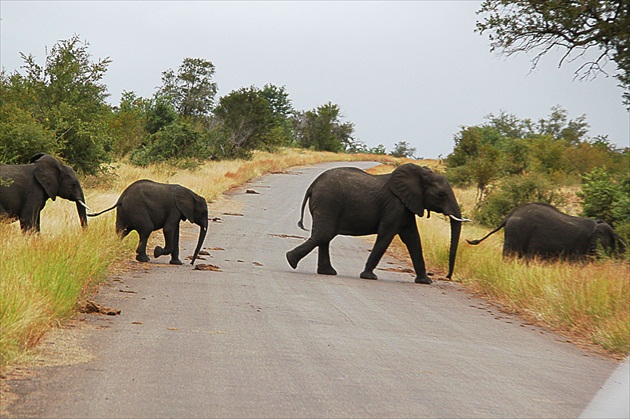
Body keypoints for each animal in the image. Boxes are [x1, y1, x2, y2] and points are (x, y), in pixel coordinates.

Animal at [286, 162, 470, 284]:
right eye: (441, 195)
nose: (447, 277)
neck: (420, 174)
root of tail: (312, 185)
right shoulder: (395, 205)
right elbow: (386, 235)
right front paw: (369, 277)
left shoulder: (406, 207)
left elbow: (413, 238)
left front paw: (425, 281)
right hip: (328, 201)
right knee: (324, 234)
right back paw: (291, 260)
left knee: (325, 236)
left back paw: (326, 272)